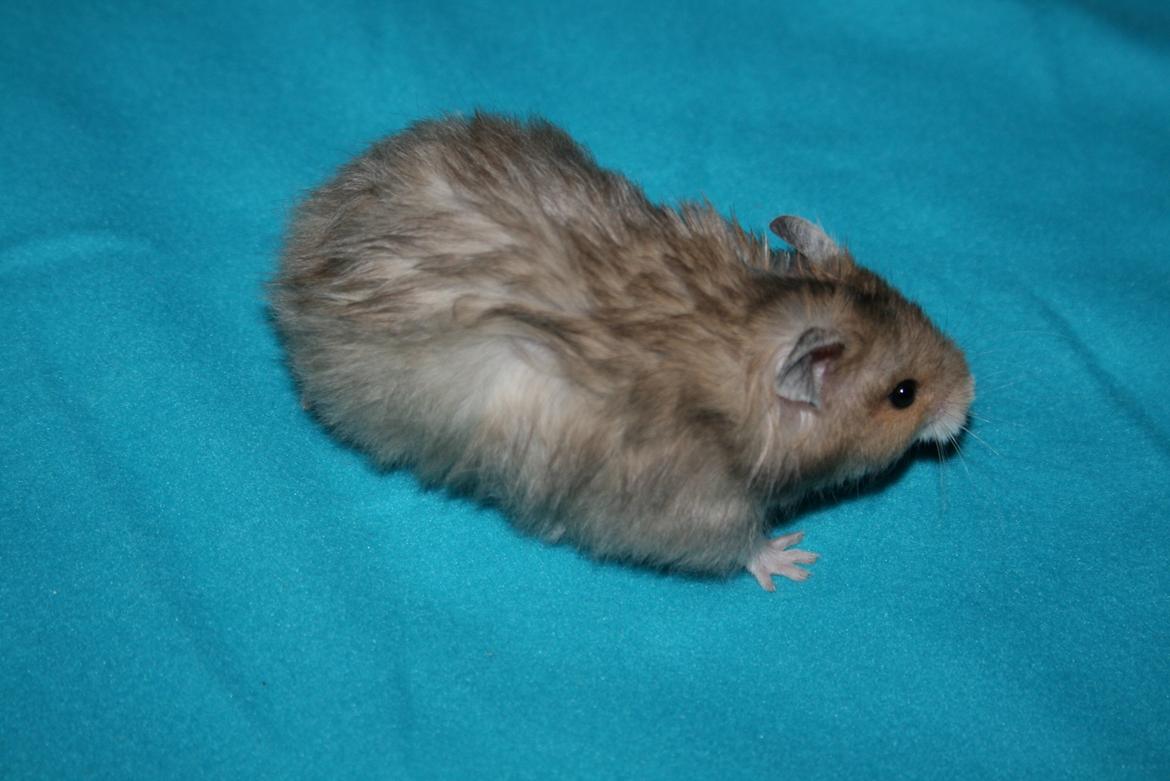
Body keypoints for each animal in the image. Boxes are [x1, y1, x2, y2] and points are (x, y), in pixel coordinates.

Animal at [271, 113, 974, 590]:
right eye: (903, 395)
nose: (971, 398)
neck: (740, 328)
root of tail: (294, 256)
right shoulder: (686, 508)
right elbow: (735, 544)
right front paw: (792, 559)